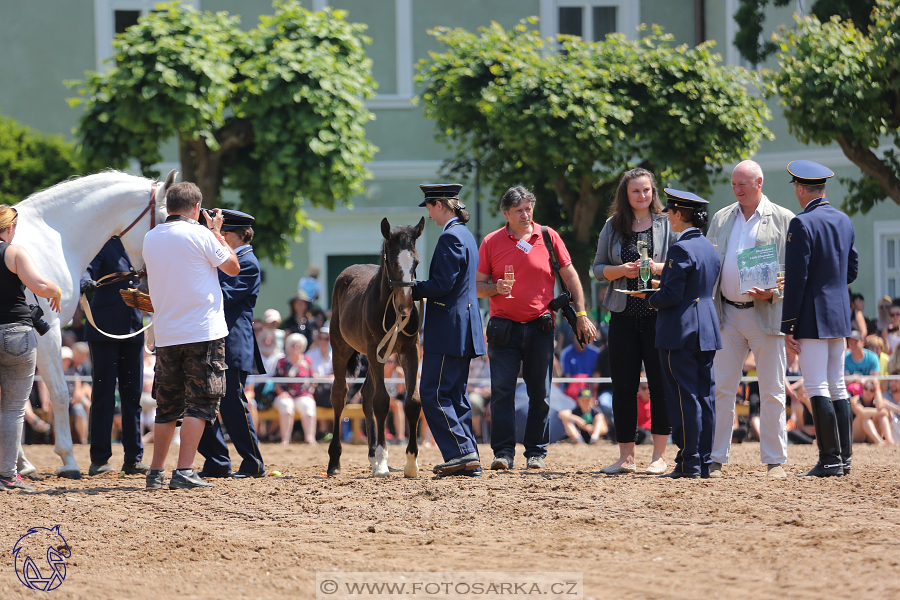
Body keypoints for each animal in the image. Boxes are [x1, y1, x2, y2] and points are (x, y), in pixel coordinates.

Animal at [14, 169, 175, 478]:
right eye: (165, 222)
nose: (151, 281)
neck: (54, 235)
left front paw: (22, 464)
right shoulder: (47, 332)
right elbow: (58, 393)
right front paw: (68, 460)